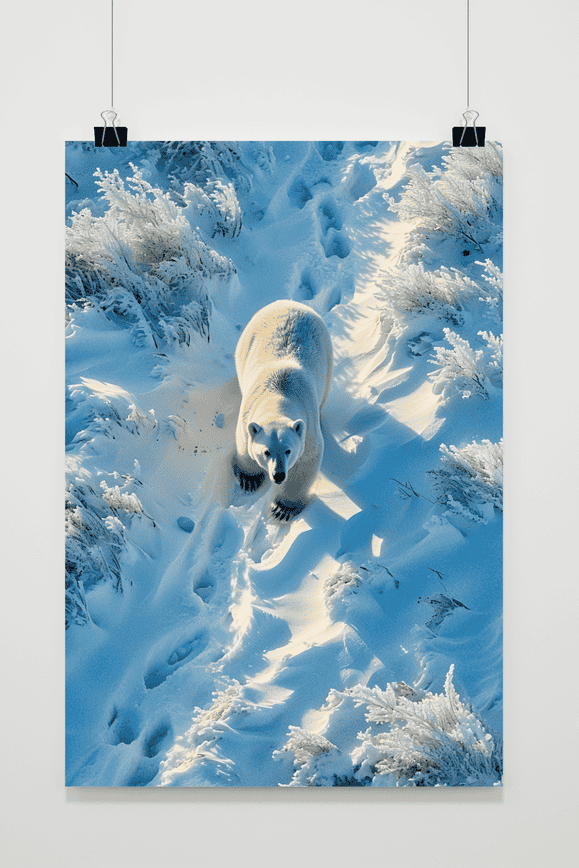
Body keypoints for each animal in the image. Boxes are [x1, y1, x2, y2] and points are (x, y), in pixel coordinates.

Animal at [232, 300, 333, 521]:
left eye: (288, 450)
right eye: (266, 451)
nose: (278, 475)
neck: (279, 392)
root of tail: (289, 303)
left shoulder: (307, 426)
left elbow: (306, 462)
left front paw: (283, 508)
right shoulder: (246, 417)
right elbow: (244, 446)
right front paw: (249, 479)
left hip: (327, 351)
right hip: (245, 345)